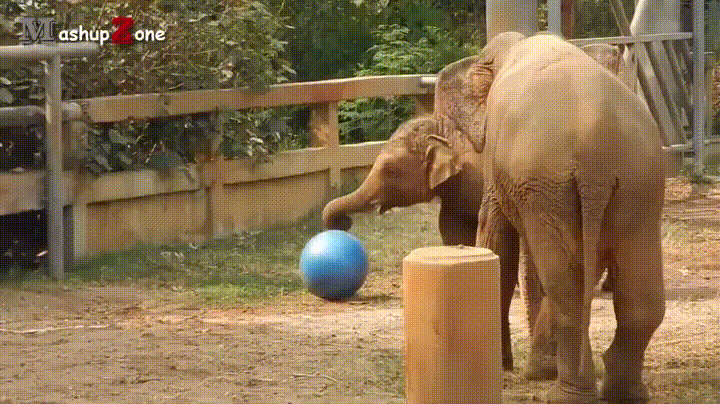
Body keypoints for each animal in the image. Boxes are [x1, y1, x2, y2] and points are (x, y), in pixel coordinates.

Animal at [434, 32, 665, 404]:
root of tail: (597, 154)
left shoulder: (501, 169)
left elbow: (497, 241)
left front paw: (509, 369)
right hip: (634, 184)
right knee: (638, 295)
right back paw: (622, 392)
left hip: (556, 182)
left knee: (567, 289)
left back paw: (567, 391)